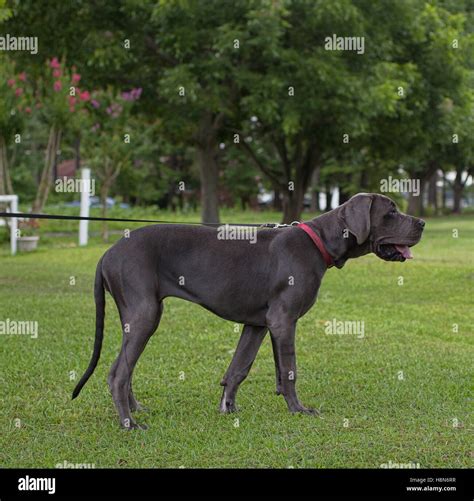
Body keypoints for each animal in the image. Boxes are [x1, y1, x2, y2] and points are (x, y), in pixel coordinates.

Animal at [71, 193, 426, 428]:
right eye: (391, 212)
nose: (422, 222)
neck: (318, 242)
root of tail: (107, 253)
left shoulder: (258, 324)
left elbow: (238, 368)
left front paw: (228, 408)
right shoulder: (282, 320)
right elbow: (289, 370)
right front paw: (298, 410)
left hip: (135, 317)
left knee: (124, 367)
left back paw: (135, 410)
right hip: (145, 315)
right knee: (117, 373)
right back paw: (128, 423)